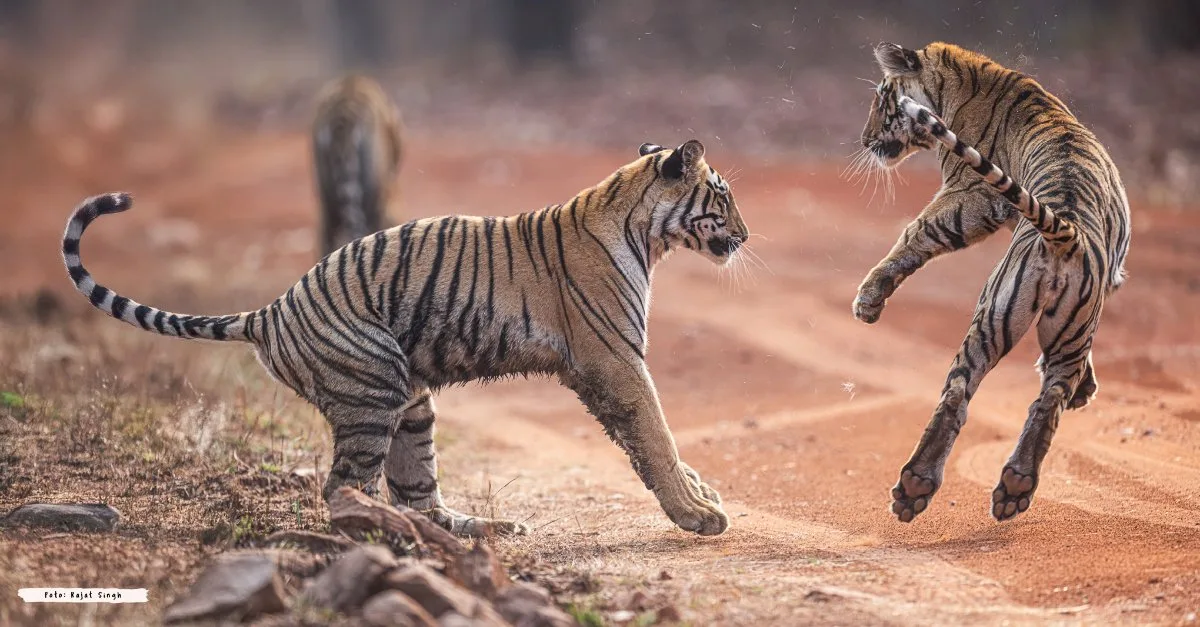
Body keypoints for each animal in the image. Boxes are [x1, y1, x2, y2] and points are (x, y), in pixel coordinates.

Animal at [62, 140, 747, 538]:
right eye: (722, 197)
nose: (743, 235)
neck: (644, 232)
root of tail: (271, 311)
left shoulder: (612, 366)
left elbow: (655, 442)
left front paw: (701, 493)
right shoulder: (615, 361)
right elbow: (655, 436)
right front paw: (698, 514)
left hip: (412, 404)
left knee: (416, 489)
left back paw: (472, 530)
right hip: (374, 388)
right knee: (345, 489)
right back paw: (395, 539)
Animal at [854, 42, 1131, 523]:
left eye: (881, 100)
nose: (865, 140)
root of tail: (1067, 233)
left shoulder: (970, 194)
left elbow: (914, 233)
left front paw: (868, 300)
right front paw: (1087, 387)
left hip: (996, 314)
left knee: (963, 394)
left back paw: (921, 487)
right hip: (1026, 322)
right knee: (1034, 401)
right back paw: (1006, 487)